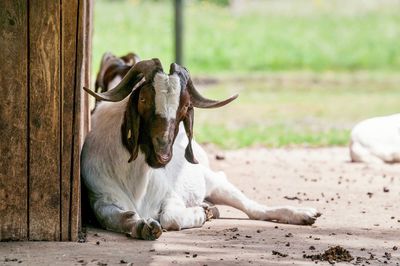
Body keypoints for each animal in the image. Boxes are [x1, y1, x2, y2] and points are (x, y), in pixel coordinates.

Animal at [82, 57, 322, 240]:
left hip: (215, 182)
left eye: (185, 106)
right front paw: (145, 227)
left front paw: (202, 213)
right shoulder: (102, 199)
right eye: (143, 99)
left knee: (254, 209)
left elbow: (170, 218)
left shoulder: (171, 196)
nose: (163, 154)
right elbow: (124, 217)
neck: (138, 178)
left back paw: (304, 214)